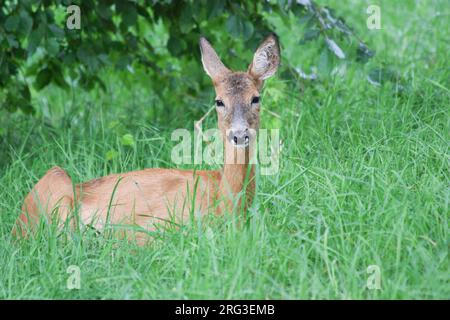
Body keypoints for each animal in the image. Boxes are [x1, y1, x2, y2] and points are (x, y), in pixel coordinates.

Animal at [13, 33, 282, 242]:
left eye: (255, 98)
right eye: (219, 101)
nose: (239, 134)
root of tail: (16, 227)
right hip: (55, 180)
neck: (226, 201)